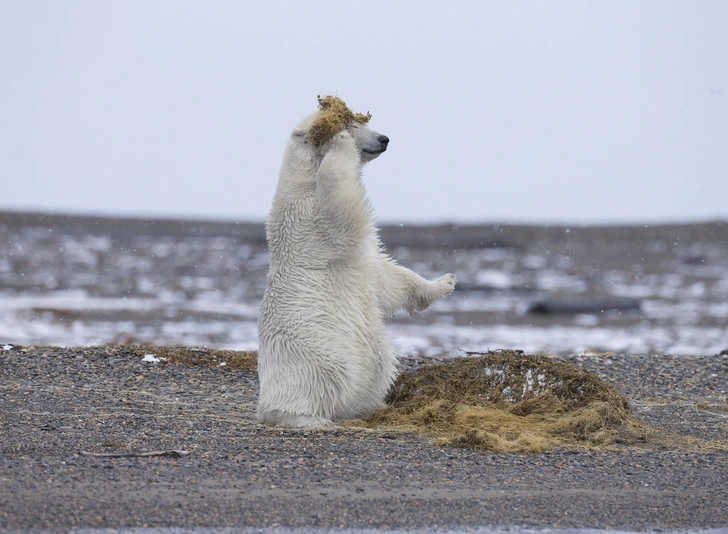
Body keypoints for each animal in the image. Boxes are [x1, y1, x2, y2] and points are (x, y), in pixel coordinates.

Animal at [256, 98, 456, 430]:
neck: (303, 180)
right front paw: (338, 139)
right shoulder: (307, 215)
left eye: (364, 123)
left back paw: (370, 407)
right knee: (321, 378)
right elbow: (340, 201)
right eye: (354, 125)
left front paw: (445, 282)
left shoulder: (366, 258)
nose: (384, 139)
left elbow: (388, 276)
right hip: (312, 352)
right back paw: (310, 419)